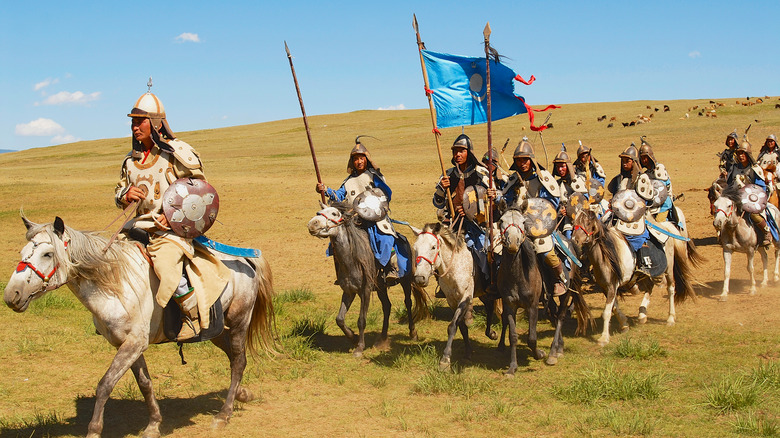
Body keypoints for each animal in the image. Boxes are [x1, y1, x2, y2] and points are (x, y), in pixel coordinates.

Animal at [3, 216, 274, 438]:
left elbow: (105, 385)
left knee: (238, 361)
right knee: (234, 358)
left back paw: (224, 414)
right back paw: (242, 394)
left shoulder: (133, 344)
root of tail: (245, 259)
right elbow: (145, 383)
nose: (11, 295)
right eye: (23, 251)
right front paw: (154, 424)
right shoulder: (128, 344)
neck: (115, 284)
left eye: (47, 254)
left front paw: (94, 430)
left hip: (238, 321)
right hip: (215, 329)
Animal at [306, 201, 426, 356]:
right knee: (387, 306)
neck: (352, 260)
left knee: (408, 303)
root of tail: (405, 241)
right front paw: (353, 338)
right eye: (319, 213)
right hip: (381, 287)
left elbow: (361, 320)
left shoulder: (365, 291)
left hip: (405, 281)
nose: (312, 224)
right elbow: (340, 319)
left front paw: (359, 347)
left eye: (334, 213)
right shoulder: (349, 291)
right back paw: (382, 338)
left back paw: (412, 333)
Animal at [500, 209, 592, 372]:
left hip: (565, 293)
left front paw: (540, 354)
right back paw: (560, 346)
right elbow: (513, 336)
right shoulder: (509, 305)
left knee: (560, 316)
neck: (518, 275)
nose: (513, 242)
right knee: (553, 314)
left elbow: (532, 338)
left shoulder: (532, 306)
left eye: (523, 222)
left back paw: (553, 352)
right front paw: (512, 367)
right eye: (501, 221)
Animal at [568, 209, 704, 346]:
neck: (606, 255)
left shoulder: (612, 286)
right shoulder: (605, 287)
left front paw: (604, 338)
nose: (575, 241)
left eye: (588, 223)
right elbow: (614, 308)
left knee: (670, 289)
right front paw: (624, 324)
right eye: (574, 223)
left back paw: (670, 318)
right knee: (649, 287)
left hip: (669, 268)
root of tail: (665, 227)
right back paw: (642, 314)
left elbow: (606, 312)